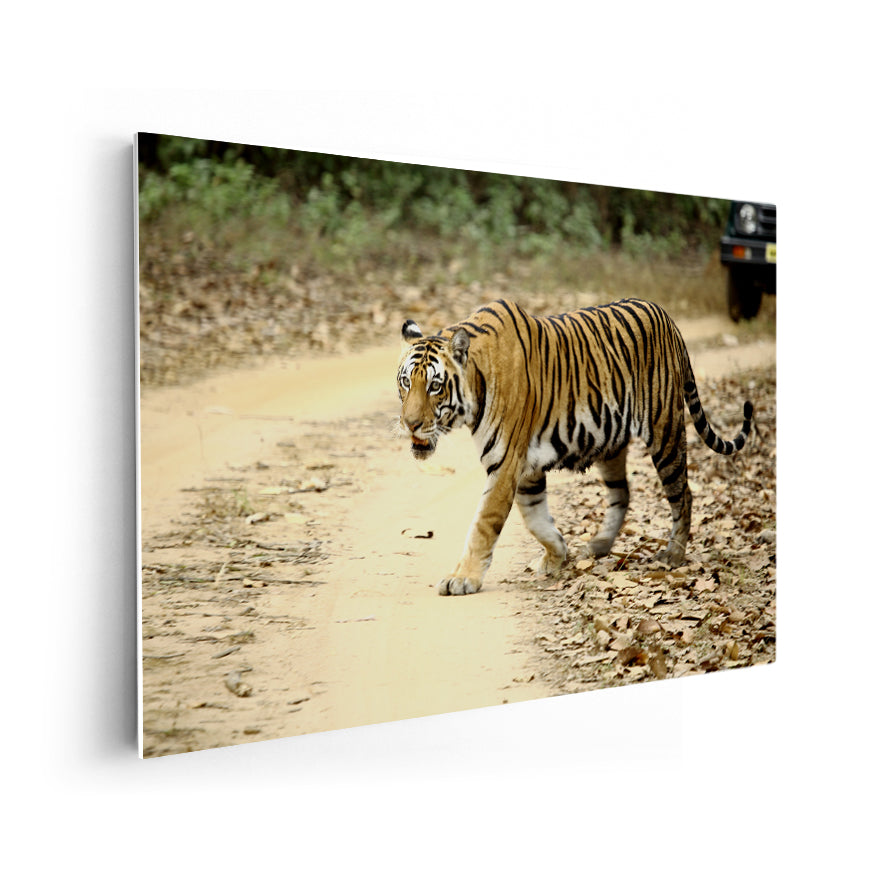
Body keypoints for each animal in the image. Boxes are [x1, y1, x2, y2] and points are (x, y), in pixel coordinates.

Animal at [396, 298, 753, 596]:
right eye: (405, 382)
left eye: (435, 386)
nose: (410, 423)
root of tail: (668, 318)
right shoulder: (525, 468)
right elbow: (536, 518)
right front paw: (557, 555)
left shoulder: (505, 463)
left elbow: (484, 524)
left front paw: (462, 579)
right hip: (611, 443)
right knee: (622, 494)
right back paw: (597, 546)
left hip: (665, 430)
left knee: (683, 494)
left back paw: (673, 554)